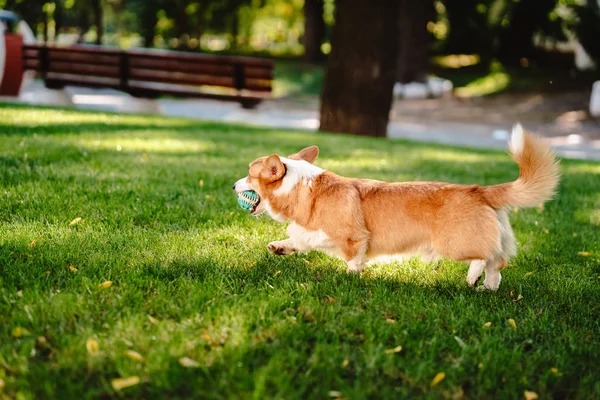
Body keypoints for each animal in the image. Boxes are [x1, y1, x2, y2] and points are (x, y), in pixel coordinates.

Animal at [233, 123, 556, 290]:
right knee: (498, 263)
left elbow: (353, 259)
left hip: (456, 243)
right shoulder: (310, 232)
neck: (303, 188)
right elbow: (298, 240)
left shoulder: (354, 237)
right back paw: (487, 286)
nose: (233, 186)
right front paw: (279, 247)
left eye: (249, 174)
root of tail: (479, 190)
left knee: (486, 255)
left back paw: (473, 275)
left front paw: (350, 278)